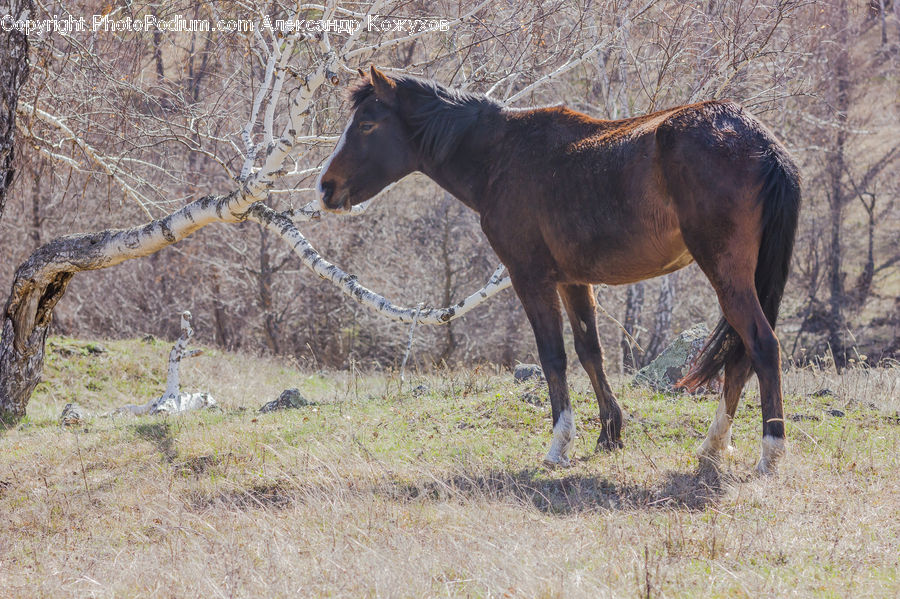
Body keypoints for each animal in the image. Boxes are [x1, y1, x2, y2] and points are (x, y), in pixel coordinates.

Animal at [316, 65, 800, 476]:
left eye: (367, 125)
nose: (325, 188)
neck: (502, 154)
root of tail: (761, 141)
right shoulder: (574, 281)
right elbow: (590, 352)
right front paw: (610, 433)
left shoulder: (530, 279)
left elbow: (554, 357)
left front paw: (559, 444)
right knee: (740, 355)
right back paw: (714, 446)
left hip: (726, 274)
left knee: (761, 346)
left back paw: (770, 455)